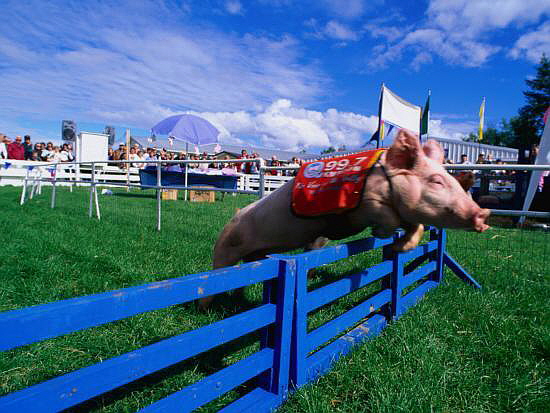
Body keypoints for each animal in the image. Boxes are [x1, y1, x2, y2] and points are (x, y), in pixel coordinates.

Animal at [205, 130, 490, 304]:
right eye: (437, 181)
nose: (482, 215)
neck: (387, 177)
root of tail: (235, 216)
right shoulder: (369, 202)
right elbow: (387, 218)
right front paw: (381, 235)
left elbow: (417, 227)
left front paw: (400, 247)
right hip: (225, 247)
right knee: (215, 274)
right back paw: (204, 307)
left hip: (256, 256)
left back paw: (239, 297)